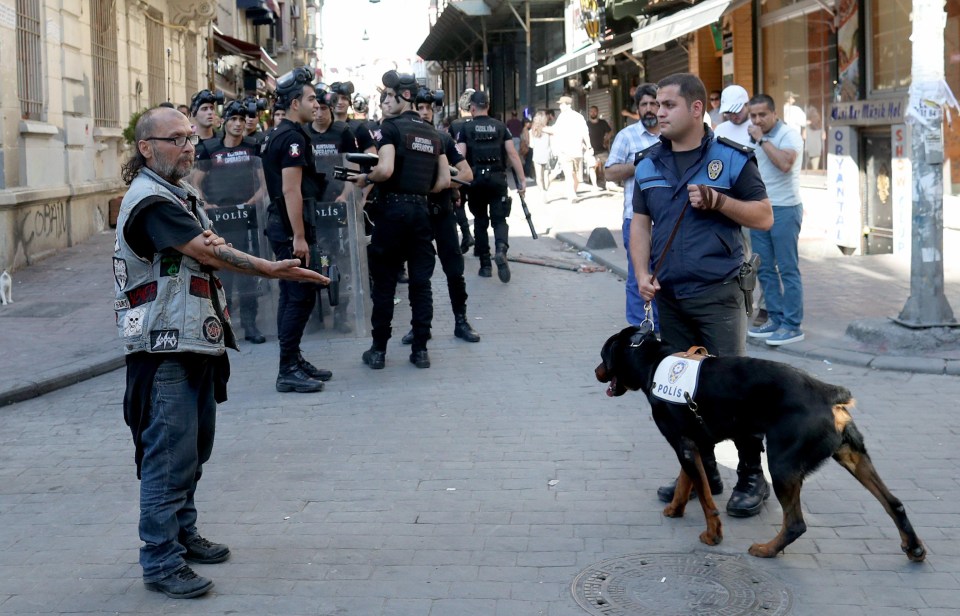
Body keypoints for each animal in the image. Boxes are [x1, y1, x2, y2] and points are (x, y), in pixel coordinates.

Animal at [596, 328, 928, 564]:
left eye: (603, 355)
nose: (597, 371)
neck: (654, 362)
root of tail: (828, 393)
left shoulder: (684, 445)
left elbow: (705, 499)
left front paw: (712, 536)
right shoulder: (693, 444)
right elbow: (685, 482)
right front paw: (675, 508)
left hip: (782, 465)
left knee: (795, 524)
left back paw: (767, 549)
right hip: (852, 455)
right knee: (894, 503)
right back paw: (914, 547)